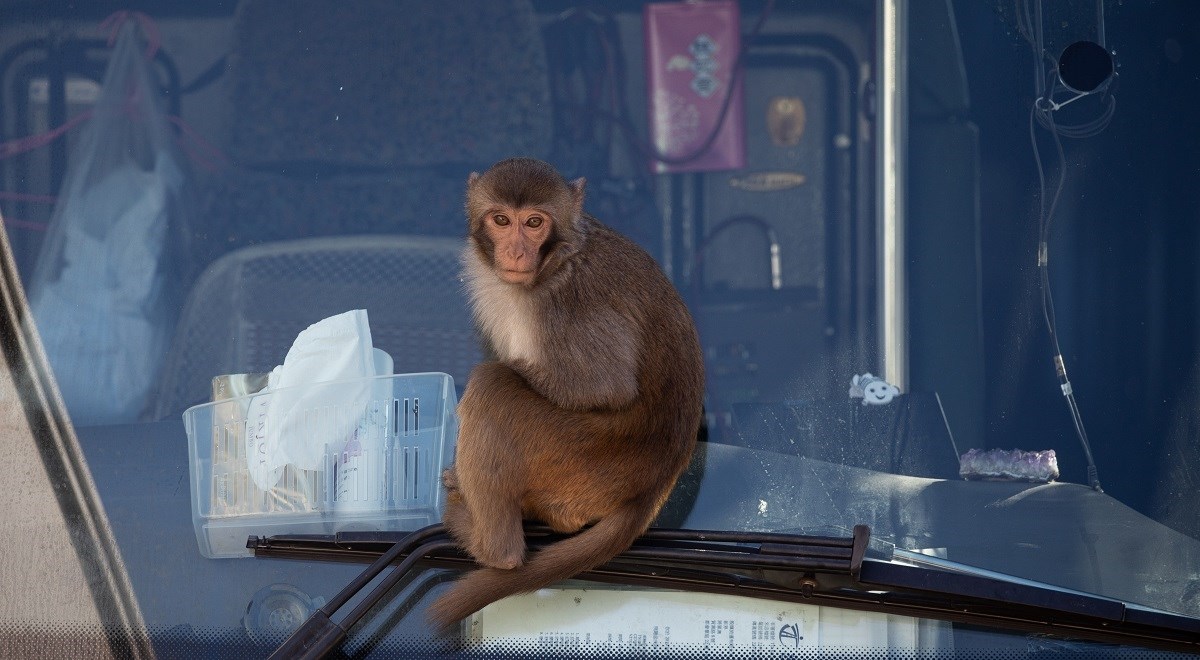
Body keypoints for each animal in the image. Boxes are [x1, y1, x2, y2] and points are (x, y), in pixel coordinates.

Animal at [429, 156, 700, 633]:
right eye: (502, 220)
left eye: (534, 223)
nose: (516, 252)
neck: (553, 263)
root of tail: (653, 486)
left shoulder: (566, 303)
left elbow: (607, 386)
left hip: (576, 457)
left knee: (493, 386)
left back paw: (491, 545)